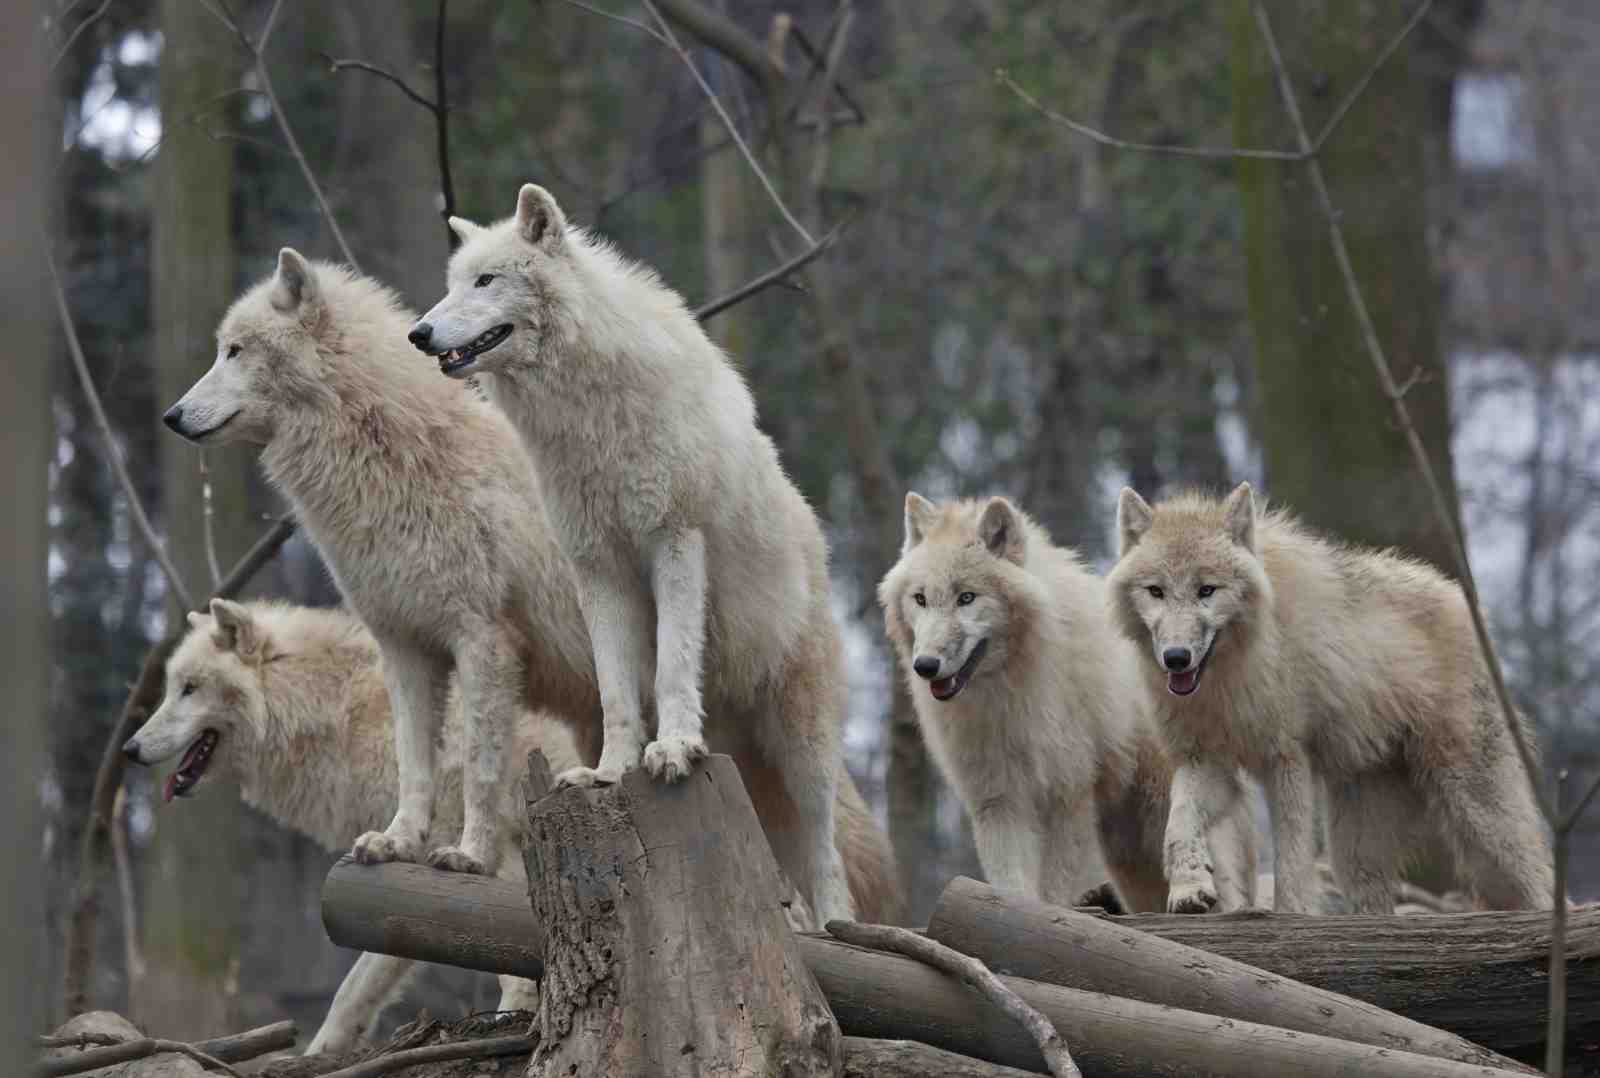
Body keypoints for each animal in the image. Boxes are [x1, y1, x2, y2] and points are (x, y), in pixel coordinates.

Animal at [125, 598, 902, 1053]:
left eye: (188, 689)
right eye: (168, 689)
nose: (130, 748)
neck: (339, 711)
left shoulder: (492, 849)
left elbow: (499, 956)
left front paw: (520, 1018)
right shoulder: (411, 880)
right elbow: (359, 986)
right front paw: (322, 1055)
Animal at [408, 184, 856, 923]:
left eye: (486, 281)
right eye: (449, 285)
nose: (418, 334)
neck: (585, 418)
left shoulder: (673, 541)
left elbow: (671, 666)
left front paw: (670, 750)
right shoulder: (597, 568)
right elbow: (618, 689)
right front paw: (611, 770)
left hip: (802, 743)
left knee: (827, 852)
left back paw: (840, 924)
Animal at [879, 493, 1256, 912]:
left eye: (966, 598)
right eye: (920, 599)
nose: (925, 665)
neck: (1008, 692)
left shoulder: (1067, 797)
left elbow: (1055, 887)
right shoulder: (997, 801)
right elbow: (1011, 883)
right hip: (1128, 856)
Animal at [1107, 482, 1554, 913]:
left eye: (1206, 590)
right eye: (1156, 591)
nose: (1176, 657)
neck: (1229, 676)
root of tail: (1467, 606)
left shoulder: (1286, 759)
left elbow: (1291, 861)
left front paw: (1291, 914)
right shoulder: (1205, 760)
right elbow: (1178, 823)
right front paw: (1189, 888)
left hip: (1480, 818)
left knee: (1540, 888)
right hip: (1355, 850)